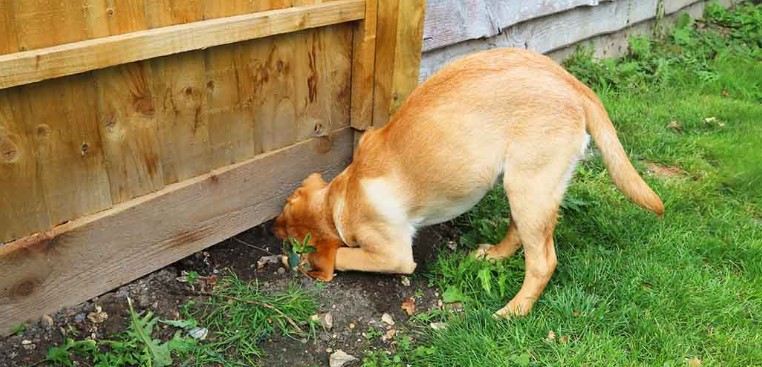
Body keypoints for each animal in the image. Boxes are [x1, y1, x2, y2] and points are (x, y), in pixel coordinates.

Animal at [272, 48, 660, 320]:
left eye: (292, 239)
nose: (273, 229)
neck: (341, 198)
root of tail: (572, 83)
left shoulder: (393, 254)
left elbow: (343, 255)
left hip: (529, 187)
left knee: (543, 262)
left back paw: (514, 311)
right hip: (522, 186)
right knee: (518, 232)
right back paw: (495, 255)